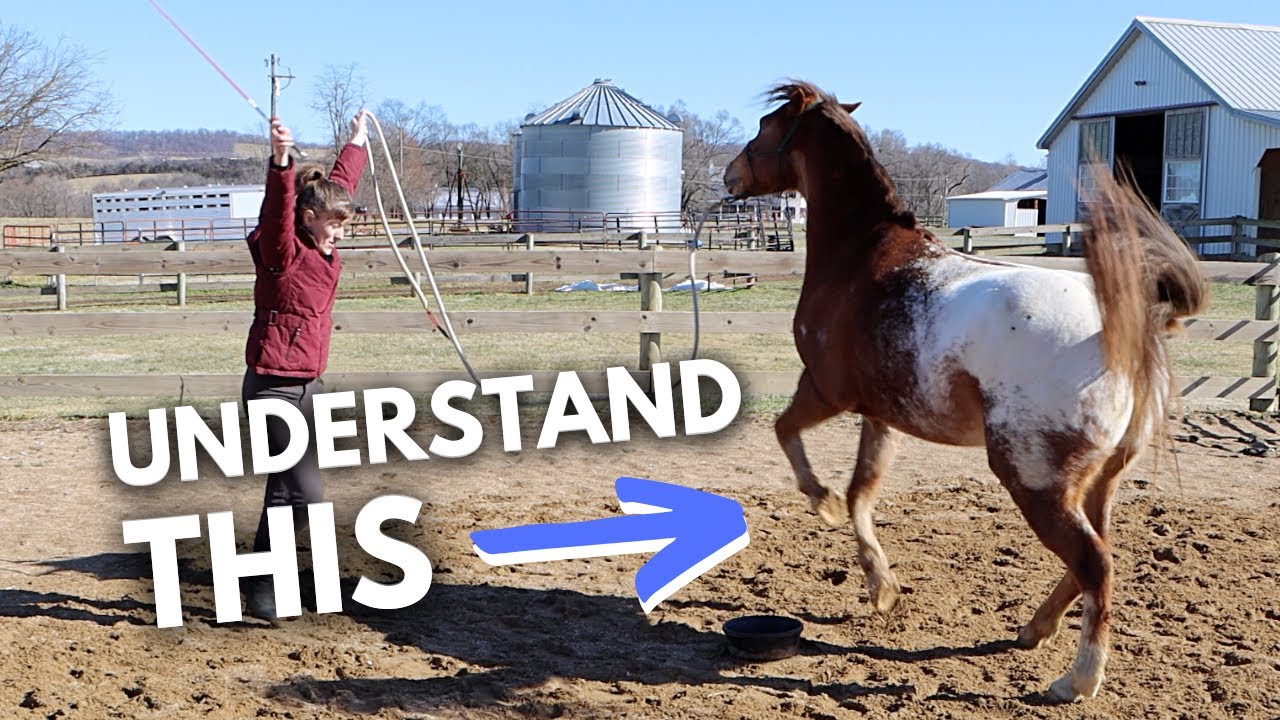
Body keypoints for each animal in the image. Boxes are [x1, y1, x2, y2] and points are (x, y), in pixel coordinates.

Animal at [723, 81, 1207, 702]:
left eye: (765, 126)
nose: (730, 176)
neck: (859, 256)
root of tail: (1129, 328)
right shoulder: (883, 414)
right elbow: (862, 494)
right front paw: (881, 586)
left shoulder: (826, 390)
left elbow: (788, 435)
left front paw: (821, 503)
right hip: (1100, 479)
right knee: (1094, 555)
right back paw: (1034, 629)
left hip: (1034, 479)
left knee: (1095, 564)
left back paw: (1076, 679)